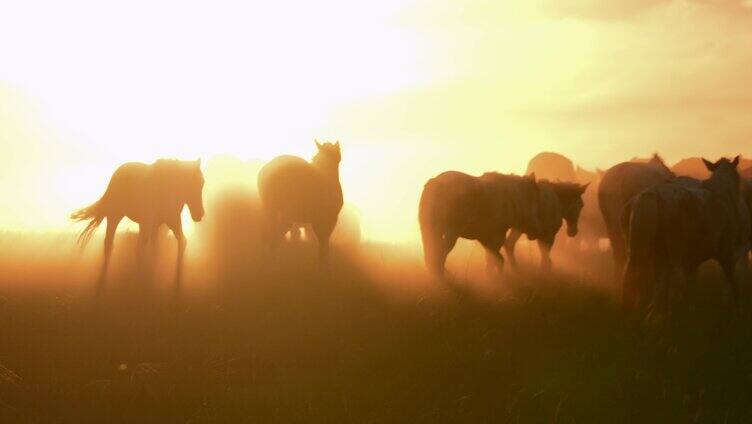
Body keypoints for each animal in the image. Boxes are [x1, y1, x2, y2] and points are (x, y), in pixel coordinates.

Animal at [70, 159, 204, 288]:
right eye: (197, 183)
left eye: (202, 183)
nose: (199, 214)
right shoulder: (155, 223)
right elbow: (146, 248)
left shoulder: (166, 223)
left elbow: (163, 247)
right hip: (116, 217)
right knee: (115, 244)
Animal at [620, 157, 748, 314]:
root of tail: (649, 195)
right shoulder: (725, 250)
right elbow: (732, 279)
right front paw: (738, 308)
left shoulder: (692, 258)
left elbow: (691, 283)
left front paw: (691, 308)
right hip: (673, 249)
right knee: (674, 278)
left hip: (639, 249)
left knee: (634, 276)